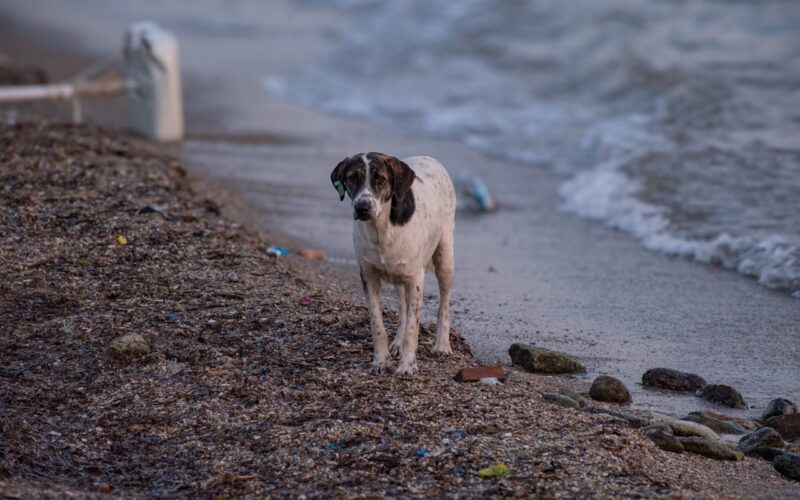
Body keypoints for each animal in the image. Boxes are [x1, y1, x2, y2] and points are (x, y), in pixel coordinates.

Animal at [332, 152, 456, 376]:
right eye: (352, 177)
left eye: (380, 179)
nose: (362, 208)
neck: (381, 229)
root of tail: (429, 157)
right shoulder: (368, 276)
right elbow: (377, 325)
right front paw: (381, 361)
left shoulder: (416, 279)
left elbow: (413, 329)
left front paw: (407, 366)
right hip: (399, 277)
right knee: (403, 309)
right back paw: (397, 342)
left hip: (445, 257)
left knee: (444, 303)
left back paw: (442, 345)